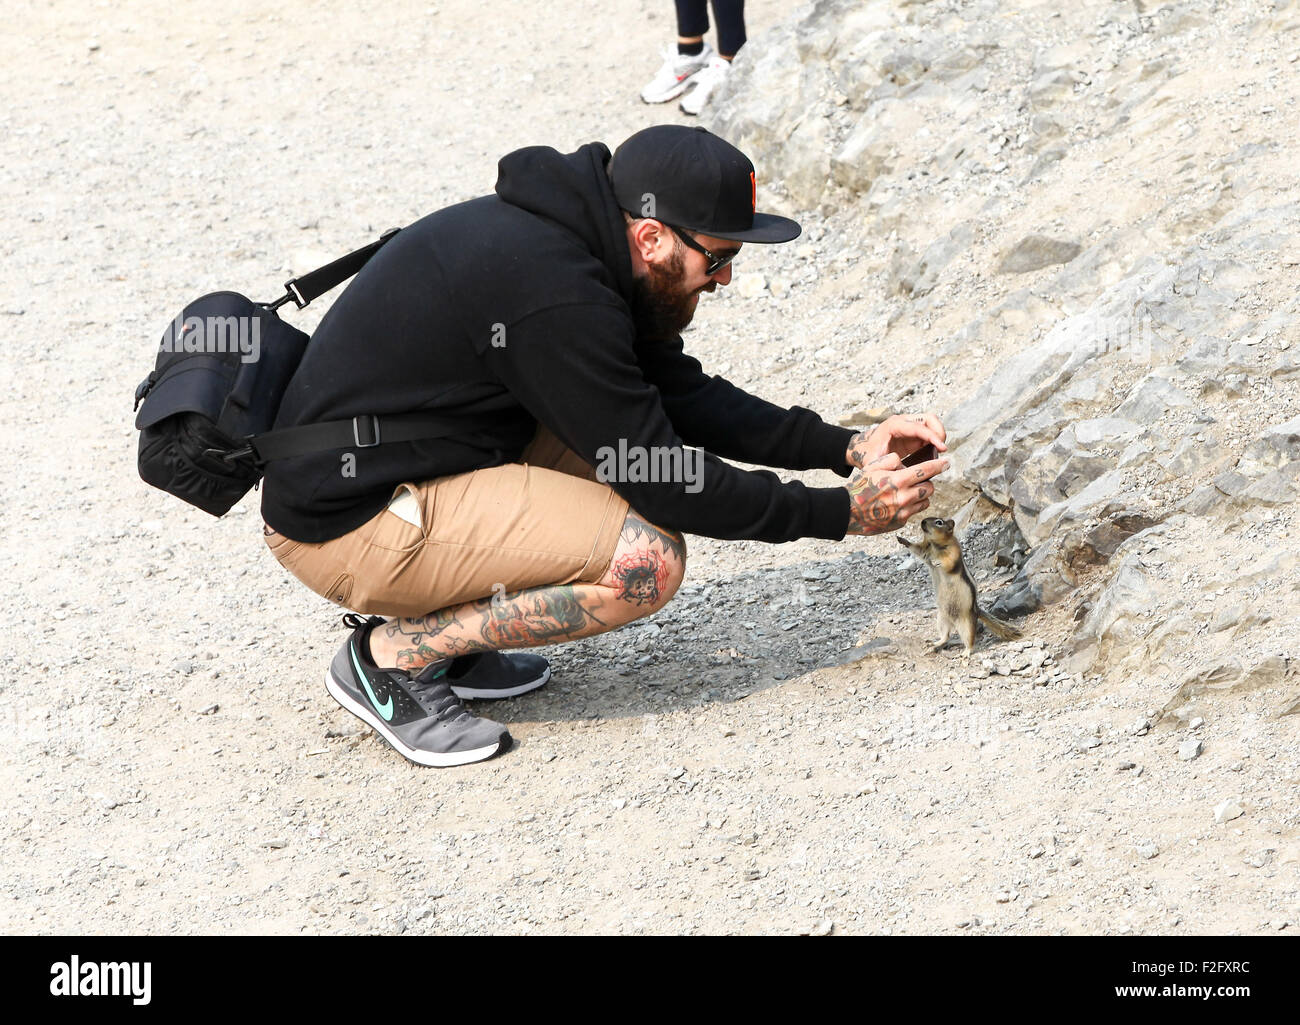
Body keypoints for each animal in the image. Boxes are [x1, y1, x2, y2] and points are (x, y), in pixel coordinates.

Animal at [897, 517, 1022, 655]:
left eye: (939, 522)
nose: (922, 521)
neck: (936, 545)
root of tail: (977, 610)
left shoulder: (954, 551)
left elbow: (949, 563)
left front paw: (937, 561)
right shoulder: (926, 550)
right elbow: (917, 550)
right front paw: (903, 540)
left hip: (966, 623)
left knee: (970, 639)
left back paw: (966, 652)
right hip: (942, 618)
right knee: (946, 635)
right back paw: (936, 643)